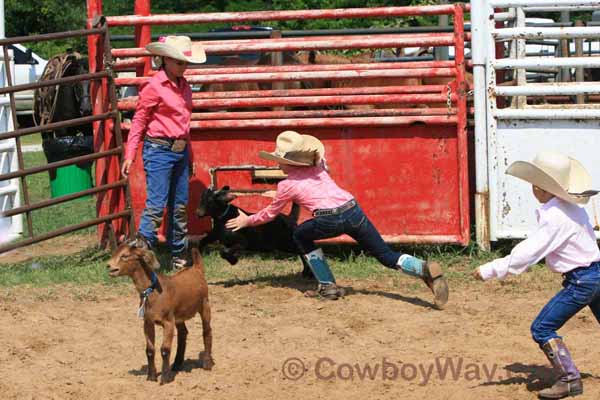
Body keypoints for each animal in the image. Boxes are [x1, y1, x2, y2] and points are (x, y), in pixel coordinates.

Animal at [107, 242, 213, 382]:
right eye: (114, 253)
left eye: (125, 255)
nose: (109, 266)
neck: (153, 291)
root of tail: (196, 268)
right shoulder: (148, 322)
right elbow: (150, 350)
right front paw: (151, 376)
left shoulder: (168, 322)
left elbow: (165, 349)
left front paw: (165, 377)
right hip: (178, 316)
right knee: (183, 333)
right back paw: (177, 364)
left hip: (205, 304)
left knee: (207, 331)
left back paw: (207, 363)